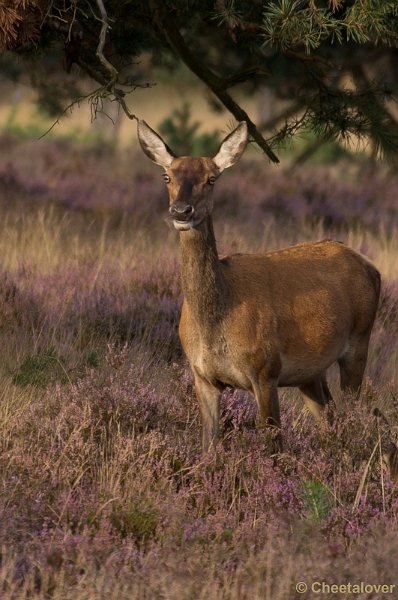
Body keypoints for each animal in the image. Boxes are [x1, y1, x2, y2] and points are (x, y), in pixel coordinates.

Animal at [138, 119, 382, 458]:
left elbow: (274, 444)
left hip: (359, 339)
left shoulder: (265, 369)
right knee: (330, 416)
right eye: (167, 176)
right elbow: (208, 445)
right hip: (310, 372)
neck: (217, 322)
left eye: (211, 179)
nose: (181, 211)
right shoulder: (202, 376)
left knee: (356, 414)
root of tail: (372, 267)